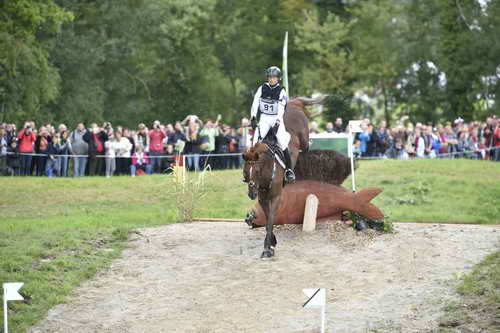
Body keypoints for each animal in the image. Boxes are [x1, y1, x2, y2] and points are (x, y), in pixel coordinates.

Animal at [243, 94, 328, 258]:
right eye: (245, 171)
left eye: (256, 170)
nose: (251, 193)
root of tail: (294, 102)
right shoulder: (263, 198)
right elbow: (268, 219)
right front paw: (271, 243)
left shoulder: (276, 197)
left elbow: (270, 220)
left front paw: (267, 249)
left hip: (303, 137)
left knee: (306, 145)